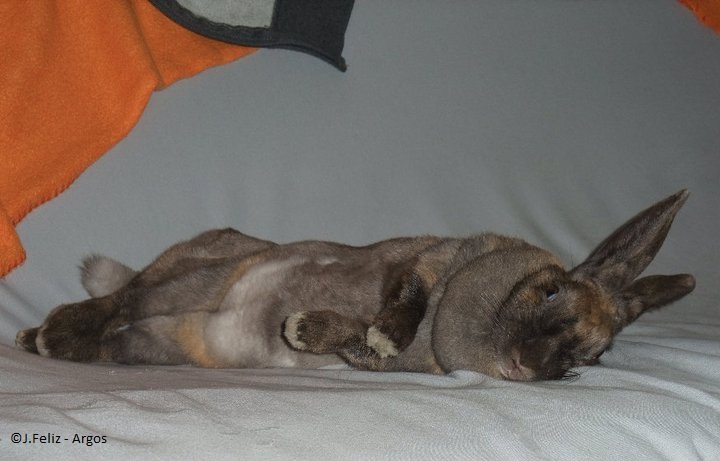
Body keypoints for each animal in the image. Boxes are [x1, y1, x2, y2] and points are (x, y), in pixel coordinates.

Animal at [15, 190, 695, 381]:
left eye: (592, 357)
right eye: (551, 290)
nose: (531, 364)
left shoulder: (366, 362)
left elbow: (353, 340)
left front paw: (304, 327)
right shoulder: (421, 263)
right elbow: (406, 295)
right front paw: (390, 329)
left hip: (155, 342)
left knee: (117, 335)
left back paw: (39, 340)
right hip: (185, 276)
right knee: (119, 299)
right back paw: (51, 331)